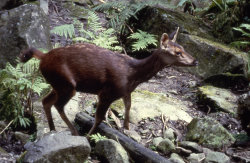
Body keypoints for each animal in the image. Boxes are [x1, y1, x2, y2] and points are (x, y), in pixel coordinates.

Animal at [20, 27, 197, 136]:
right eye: (177, 52)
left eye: (183, 47)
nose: (195, 61)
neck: (133, 74)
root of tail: (43, 57)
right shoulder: (107, 92)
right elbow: (99, 118)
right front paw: (89, 136)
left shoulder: (126, 91)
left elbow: (128, 107)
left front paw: (126, 129)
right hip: (67, 84)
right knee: (57, 105)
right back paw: (75, 132)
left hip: (58, 84)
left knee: (46, 101)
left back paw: (52, 129)